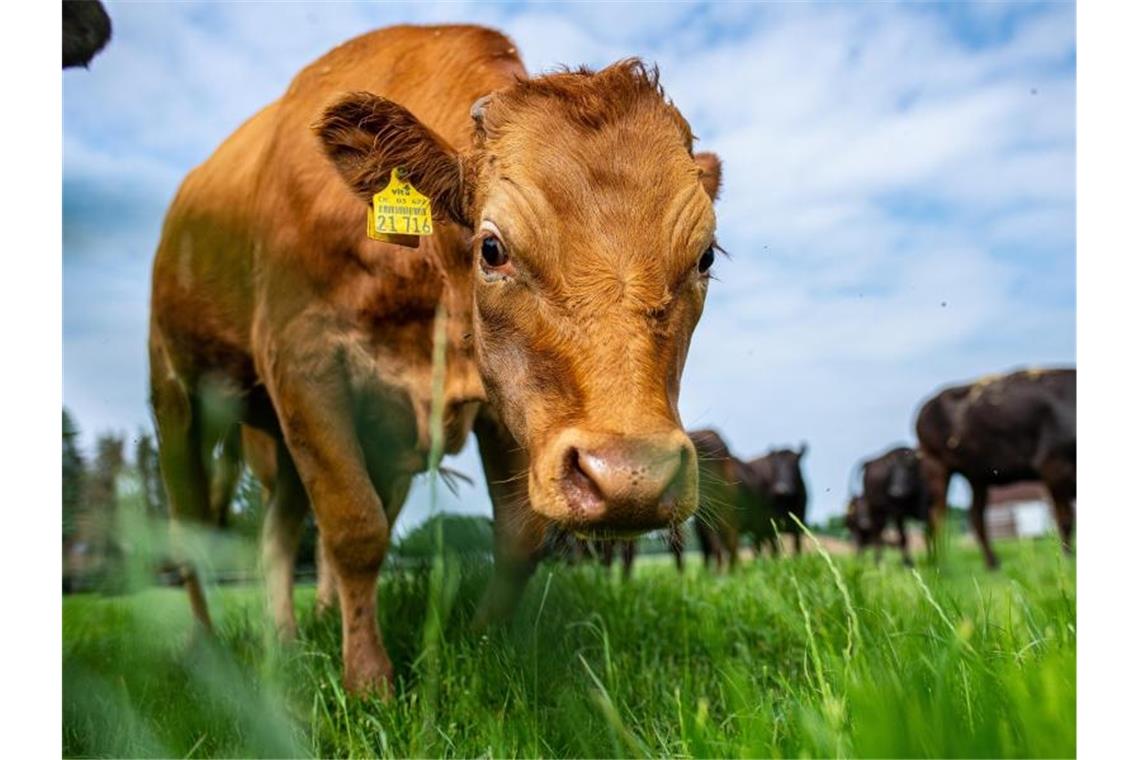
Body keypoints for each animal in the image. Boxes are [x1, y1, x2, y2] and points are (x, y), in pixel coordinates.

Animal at [149, 25, 720, 697]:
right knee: (192, 528)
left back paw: (292, 637)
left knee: (279, 530)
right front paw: (368, 681)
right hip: (177, 398)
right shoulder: (300, 360)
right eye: (492, 248)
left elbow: (518, 536)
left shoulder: (497, 400)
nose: (633, 476)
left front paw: (481, 643)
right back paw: (211, 650)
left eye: (706, 257)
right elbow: (354, 527)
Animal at [912, 364, 1071, 567]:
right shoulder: (1053, 466)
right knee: (937, 517)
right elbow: (1066, 519)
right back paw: (943, 563)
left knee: (975, 517)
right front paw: (1069, 558)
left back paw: (991, 563)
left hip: (976, 476)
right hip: (936, 465)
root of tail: (926, 405)